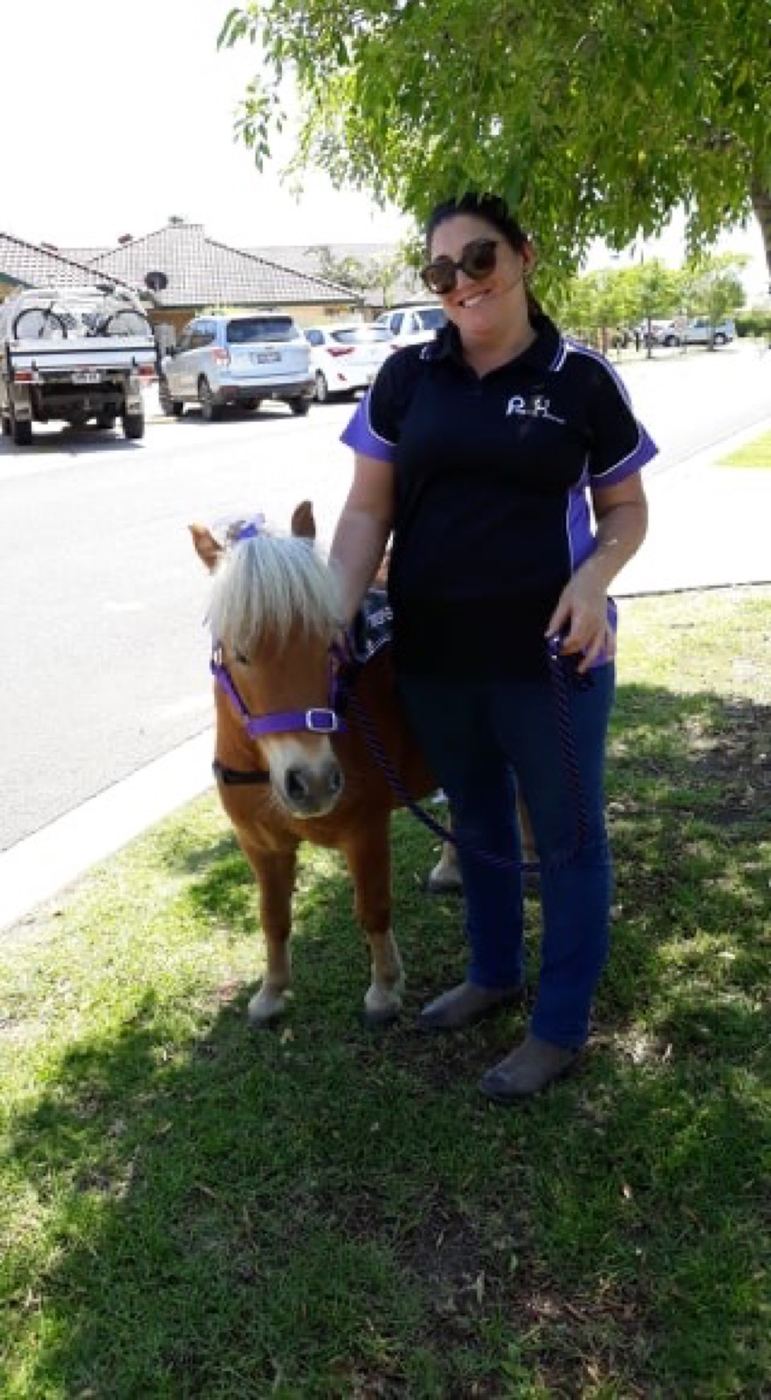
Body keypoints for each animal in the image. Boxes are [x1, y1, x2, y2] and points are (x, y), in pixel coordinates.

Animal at [190, 501, 436, 1027]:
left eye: (327, 643)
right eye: (239, 653)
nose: (315, 782)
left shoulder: (366, 833)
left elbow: (373, 908)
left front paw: (385, 987)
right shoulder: (260, 846)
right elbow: (273, 918)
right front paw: (272, 990)